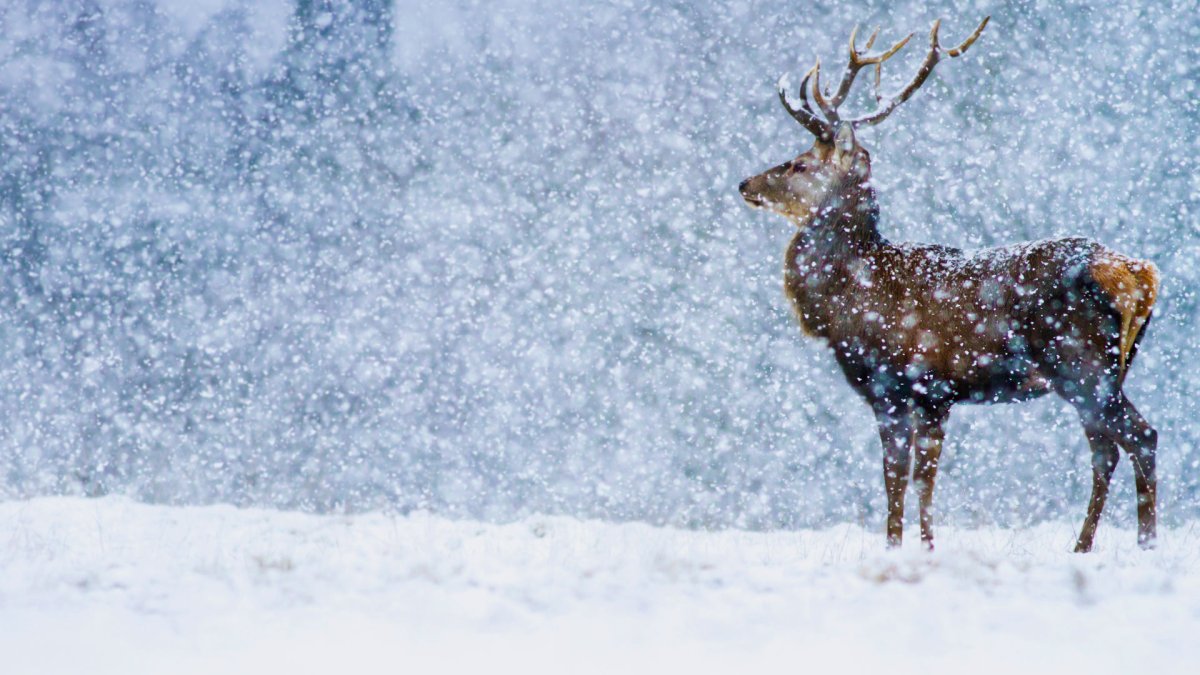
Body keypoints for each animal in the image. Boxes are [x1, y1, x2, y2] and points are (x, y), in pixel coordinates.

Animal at [738, 17, 1160, 552]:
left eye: (799, 164)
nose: (745, 184)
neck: (846, 302)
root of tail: (1138, 274)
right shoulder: (929, 398)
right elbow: (918, 480)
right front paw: (918, 547)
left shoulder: (901, 385)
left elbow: (902, 479)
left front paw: (903, 548)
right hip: (1107, 371)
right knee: (1106, 449)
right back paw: (1083, 546)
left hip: (1082, 366)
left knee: (1140, 437)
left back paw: (1143, 546)